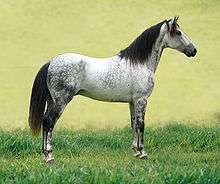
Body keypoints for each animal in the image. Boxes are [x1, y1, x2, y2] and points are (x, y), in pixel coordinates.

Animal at [27, 16, 198, 164]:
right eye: (178, 32)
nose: (194, 50)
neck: (140, 63)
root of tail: (51, 62)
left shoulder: (132, 102)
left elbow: (134, 124)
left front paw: (136, 151)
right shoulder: (141, 100)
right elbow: (141, 125)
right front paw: (143, 153)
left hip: (52, 101)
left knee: (45, 121)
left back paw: (45, 154)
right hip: (61, 101)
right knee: (49, 122)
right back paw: (49, 156)